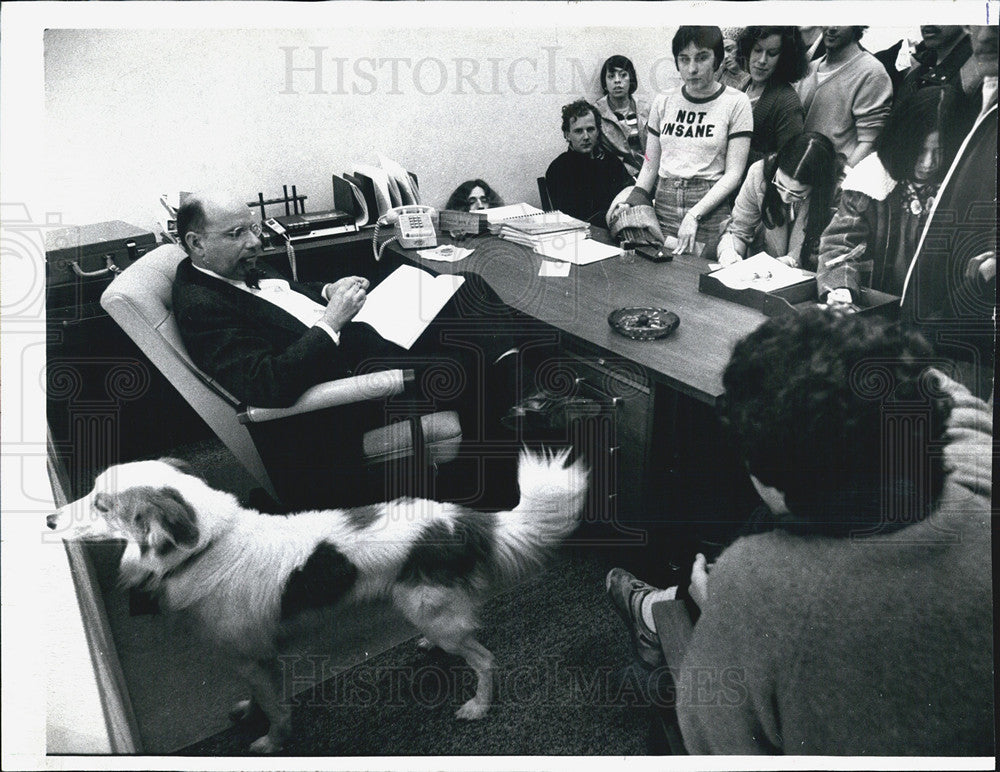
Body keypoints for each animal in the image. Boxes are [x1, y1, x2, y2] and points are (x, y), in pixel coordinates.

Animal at [48, 450, 584, 752]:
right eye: (92, 493)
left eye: (102, 504)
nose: (50, 520)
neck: (209, 546)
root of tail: (460, 520)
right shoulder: (254, 657)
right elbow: (260, 697)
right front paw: (249, 711)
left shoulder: (254, 657)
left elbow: (277, 709)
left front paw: (271, 742)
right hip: (429, 609)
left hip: (433, 613)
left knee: (484, 657)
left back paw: (478, 705)